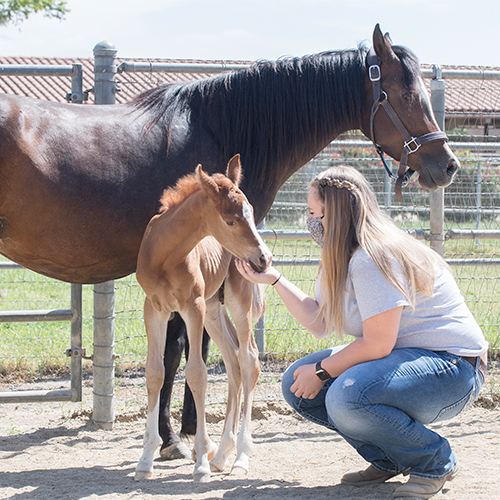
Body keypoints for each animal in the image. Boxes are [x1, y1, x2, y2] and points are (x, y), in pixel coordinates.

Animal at [135, 155, 272, 480]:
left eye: (251, 213)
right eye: (230, 220)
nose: (264, 258)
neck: (165, 255)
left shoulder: (192, 307)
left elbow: (197, 373)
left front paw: (200, 465)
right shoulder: (154, 309)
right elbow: (155, 372)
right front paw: (145, 461)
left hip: (236, 301)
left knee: (249, 358)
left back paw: (240, 456)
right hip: (213, 309)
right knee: (233, 360)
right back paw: (222, 454)